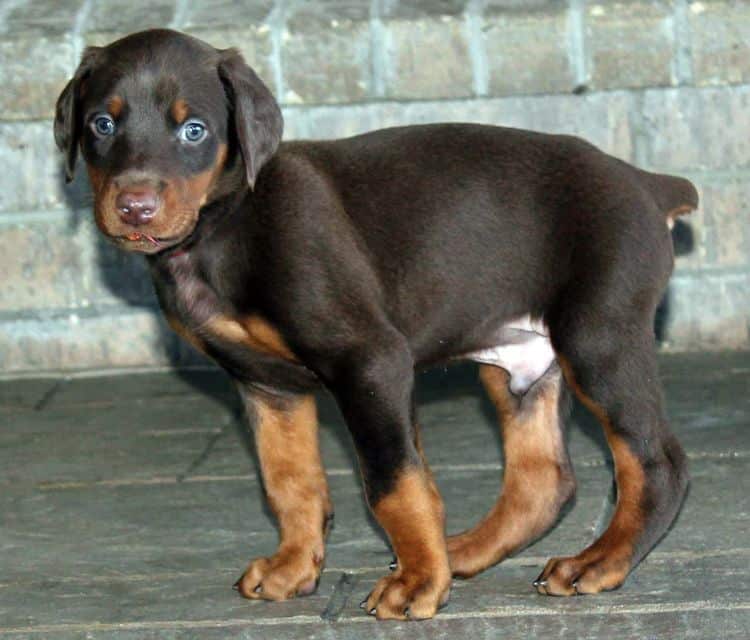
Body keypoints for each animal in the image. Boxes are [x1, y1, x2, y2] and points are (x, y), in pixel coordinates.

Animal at [55, 28, 696, 620]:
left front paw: (418, 583)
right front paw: (294, 567)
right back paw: (461, 551)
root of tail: (647, 182)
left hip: (597, 338)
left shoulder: (370, 363)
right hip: (518, 364)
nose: (135, 207)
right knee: (543, 482)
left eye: (194, 131)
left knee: (657, 463)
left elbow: (394, 483)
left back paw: (597, 563)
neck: (224, 226)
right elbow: (289, 481)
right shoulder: (266, 385)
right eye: (101, 125)